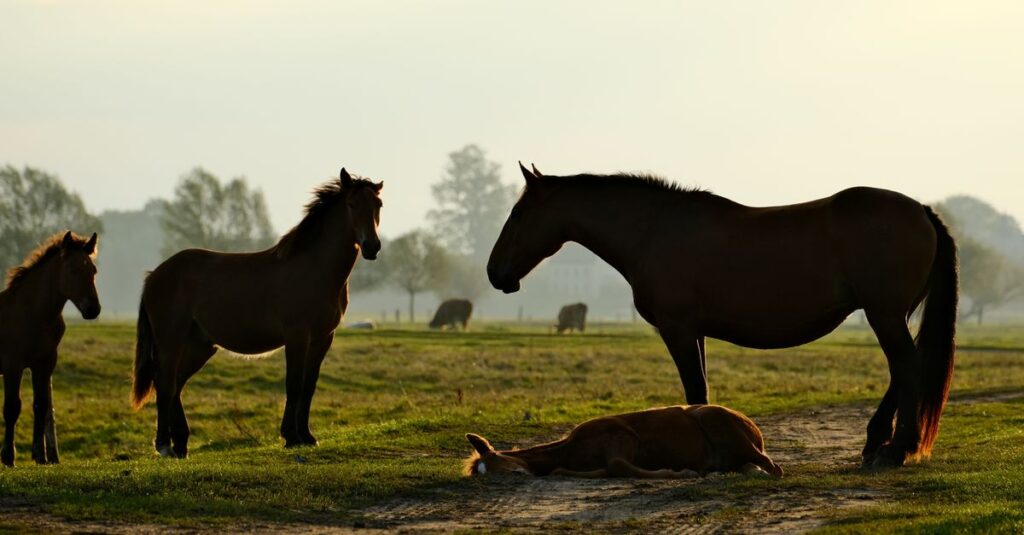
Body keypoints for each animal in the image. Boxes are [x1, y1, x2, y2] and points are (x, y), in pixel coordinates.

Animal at [1, 231, 100, 467]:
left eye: (93, 270)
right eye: (73, 269)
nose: (93, 309)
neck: (31, 313)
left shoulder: (44, 364)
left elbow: (41, 405)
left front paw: (41, 455)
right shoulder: (12, 366)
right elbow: (12, 408)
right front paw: (8, 456)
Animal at [132, 169, 382, 457]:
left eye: (378, 205)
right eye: (351, 204)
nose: (372, 246)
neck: (314, 269)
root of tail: (155, 275)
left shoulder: (323, 338)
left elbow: (309, 385)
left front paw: (307, 436)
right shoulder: (297, 337)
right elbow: (294, 383)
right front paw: (291, 436)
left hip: (200, 345)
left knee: (175, 385)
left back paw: (181, 444)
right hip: (171, 341)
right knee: (165, 384)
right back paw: (164, 445)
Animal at [487, 163, 957, 468]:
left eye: (518, 213)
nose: (495, 272)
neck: (654, 230)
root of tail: (921, 210)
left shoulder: (677, 329)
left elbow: (694, 389)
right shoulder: (694, 332)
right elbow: (701, 390)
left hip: (884, 314)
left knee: (907, 367)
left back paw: (896, 450)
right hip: (889, 315)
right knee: (903, 370)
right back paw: (878, 442)